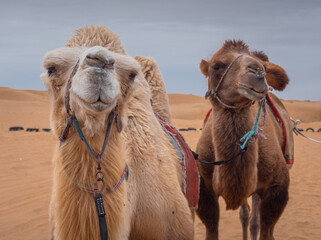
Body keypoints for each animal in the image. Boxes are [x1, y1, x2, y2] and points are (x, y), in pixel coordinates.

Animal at [195, 40, 290, 239]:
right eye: (216, 66)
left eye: (263, 67)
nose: (258, 71)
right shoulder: (204, 190)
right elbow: (212, 227)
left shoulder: (277, 192)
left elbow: (266, 230)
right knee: (245, 215)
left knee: (253, 218)